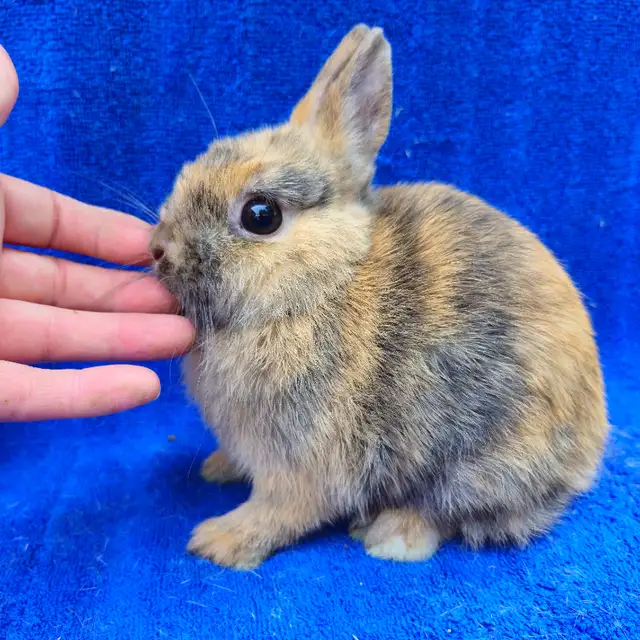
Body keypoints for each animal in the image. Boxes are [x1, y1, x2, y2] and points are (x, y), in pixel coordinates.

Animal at [149, 24, 608, 569]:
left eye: (261, 215)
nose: (159, 249)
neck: (321, 284)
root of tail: (591, 445)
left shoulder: (302, 464)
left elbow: (279, 510)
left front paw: (219, 541)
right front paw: (220, 468)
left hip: (478, 463)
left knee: (454, 511)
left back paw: (391, 537)